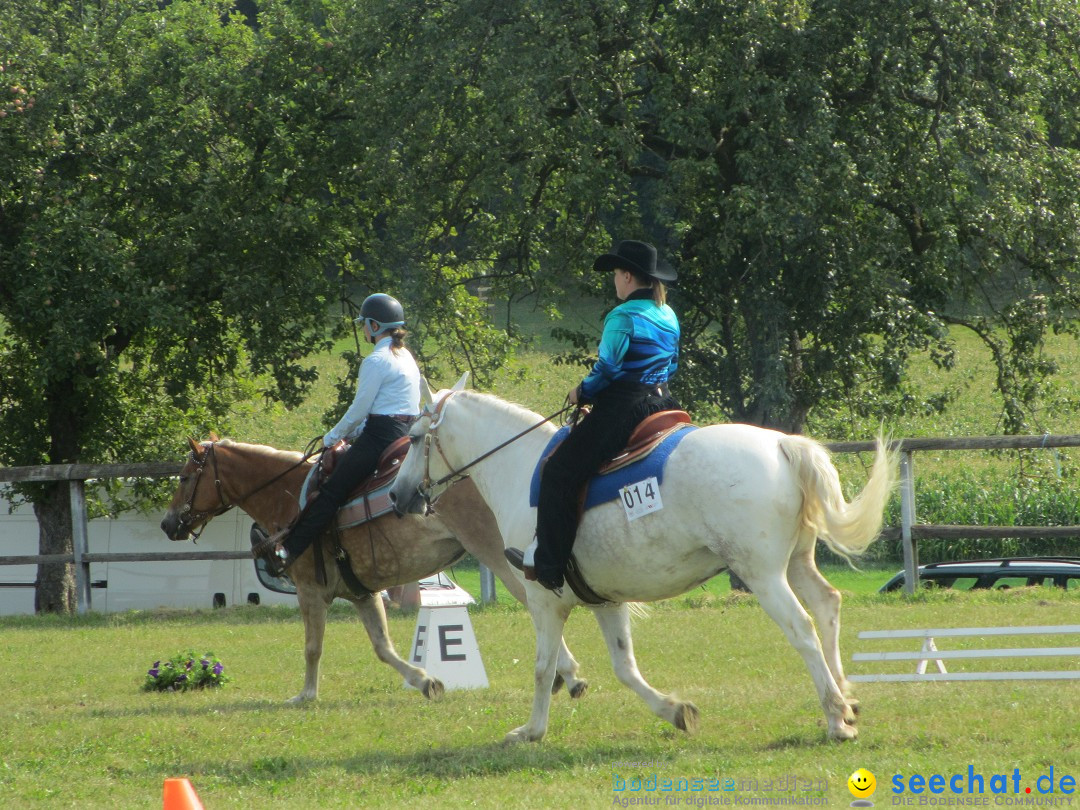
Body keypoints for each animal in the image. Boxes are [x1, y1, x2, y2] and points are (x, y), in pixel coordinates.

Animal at [157, 438, 591, 704]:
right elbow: (383, 647)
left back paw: (568, 674)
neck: (293, 499)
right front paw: (425, 681)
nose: (167, 524)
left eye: (185, 477)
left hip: (498, 556)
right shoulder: (362, 593)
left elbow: (312, 647)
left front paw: (306, 694)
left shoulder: (310, 590)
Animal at [388, 378, 894, 747]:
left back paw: (836, 718)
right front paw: (676, 711)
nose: (396, 495)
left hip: (763, 576)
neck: (520, 467)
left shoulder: (544, 600)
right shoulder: (605, 601)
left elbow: (543, 668)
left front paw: (530, 731)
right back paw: (847, 699)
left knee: (802, 628)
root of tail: (782, 446)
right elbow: (625, 668)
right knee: (827, 606)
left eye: (413, 439)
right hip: (795, 564)